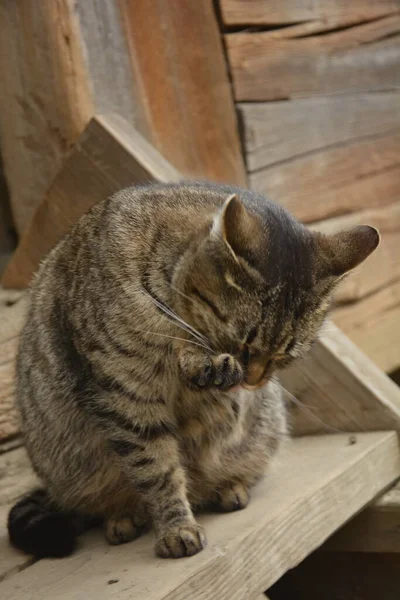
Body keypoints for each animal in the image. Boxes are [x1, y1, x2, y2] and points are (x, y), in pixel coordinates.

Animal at [7, 182, 380, 556]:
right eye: (245, 345)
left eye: (284, 356)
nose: (253, 382)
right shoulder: (128, 395)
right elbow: (157, 469)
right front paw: (176, 528)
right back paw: (122, 517)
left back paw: (229, 488)